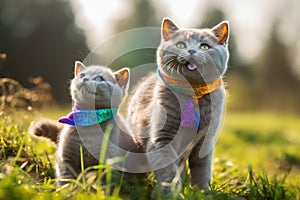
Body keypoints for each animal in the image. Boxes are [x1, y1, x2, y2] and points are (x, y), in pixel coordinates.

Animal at [127, 18, 230, 195]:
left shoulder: (206, 140)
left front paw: (203, 192)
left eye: (204, 46)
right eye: (181, 45)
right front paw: (169, 194)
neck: (193, 92)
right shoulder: (161, 139)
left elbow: (202, 169)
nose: (191, 51)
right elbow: (168, 170)